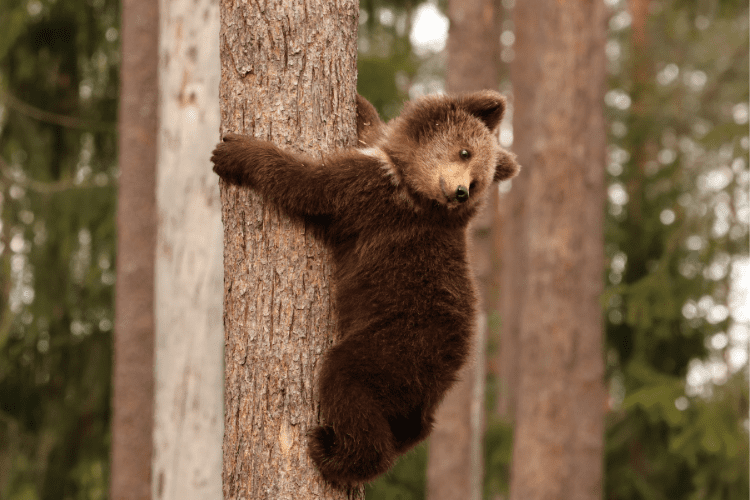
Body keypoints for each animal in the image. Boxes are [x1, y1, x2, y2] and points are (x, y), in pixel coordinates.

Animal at [211, 91, 520, 486]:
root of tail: (451, 366)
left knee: (345, 381)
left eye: (478, 178)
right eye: (466, 152)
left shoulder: (369, 194)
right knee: (411, 426)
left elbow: (309, 185)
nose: (461, 192)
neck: (407, 180)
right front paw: (360, 106)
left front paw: (235, 151)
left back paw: (334, 453)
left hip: (396, 343)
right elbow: (369, 132)